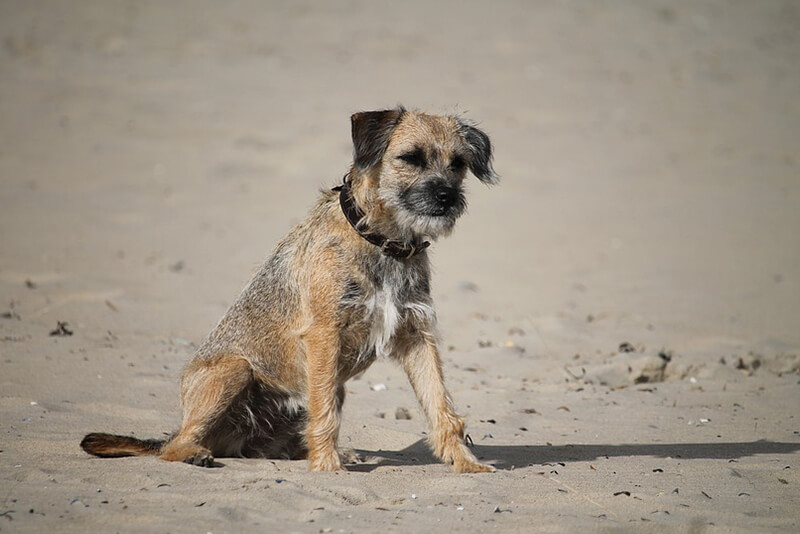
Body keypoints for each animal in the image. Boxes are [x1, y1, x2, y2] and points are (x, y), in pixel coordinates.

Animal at [79, 107, 494, 476]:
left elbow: (441, 407)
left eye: (458, 163)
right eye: (410, 158)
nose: (446, 196)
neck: (381, 240)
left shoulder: (416, 336)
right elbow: (325, 413)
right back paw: (196, 453)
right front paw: (327, 468)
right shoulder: (325, 335)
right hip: (233, 370)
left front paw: (465, 463)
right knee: (174, 446)